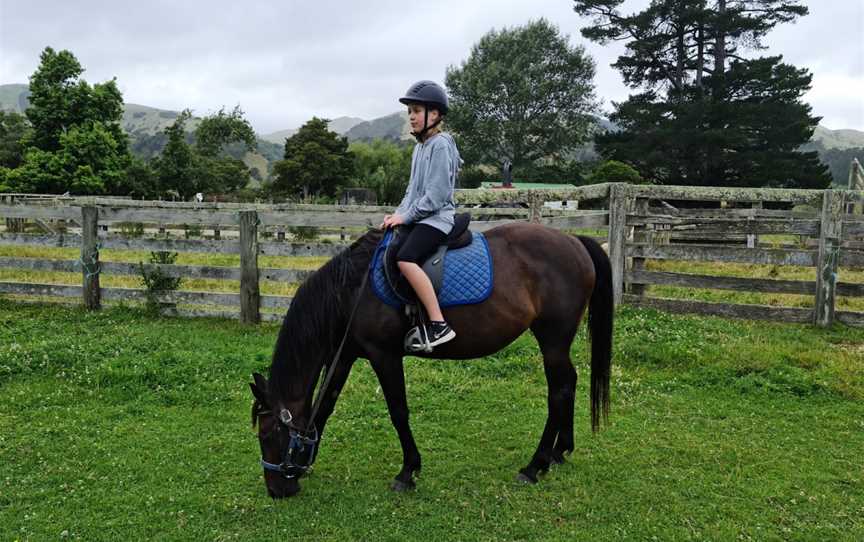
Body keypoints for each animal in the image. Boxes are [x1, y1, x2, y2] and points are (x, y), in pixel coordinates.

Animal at [248, 223, 616, 500]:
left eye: (267, 436)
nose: (277, 490)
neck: (351, 291)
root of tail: (574, 240)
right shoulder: (345, 353)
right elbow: (324, 408)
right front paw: (306, 462)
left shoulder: (384, 355)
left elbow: (398, 411)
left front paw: (407, 471)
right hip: (558, 343)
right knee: (569, 383)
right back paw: (560, 451)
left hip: (552, 340)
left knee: (558, 391)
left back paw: (535, 465)